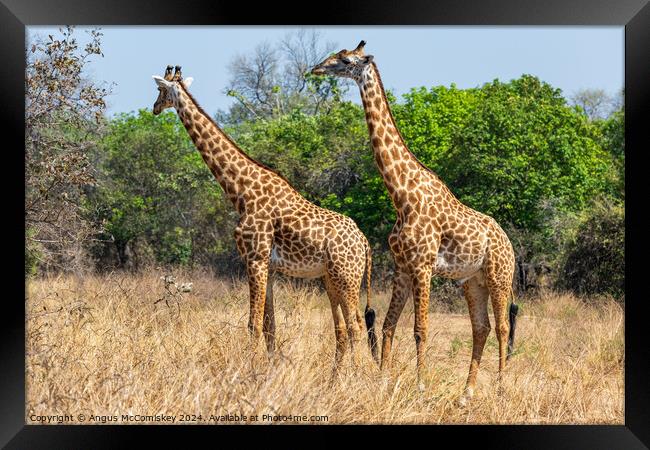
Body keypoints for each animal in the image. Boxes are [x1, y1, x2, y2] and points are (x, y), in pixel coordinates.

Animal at [149, 64, 378, 372]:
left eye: (160, 90)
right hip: (331, 278)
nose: (154, 108)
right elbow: (270, 326)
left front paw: (249, 369)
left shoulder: (254, 258)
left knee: (355, 327)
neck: (241, 191)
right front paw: (270, 369)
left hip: (347, 276)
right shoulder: (267, 266)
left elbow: (253, 324)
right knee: (342, 329)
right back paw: (335, 376)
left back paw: (353, 377)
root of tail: (364, 242)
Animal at [312, 43, 520, 404]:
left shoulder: (423, 265)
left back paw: (500, 390)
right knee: (481, 328)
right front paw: (382, 381)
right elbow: (388, 325)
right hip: (472, 281)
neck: (401, 194)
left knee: (503, 327)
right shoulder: (402, 266)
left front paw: (421, 386)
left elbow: (420, 329)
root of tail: (508, 242)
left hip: (499, 275)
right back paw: (466, 393)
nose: (316, 69)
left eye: (346, 60)